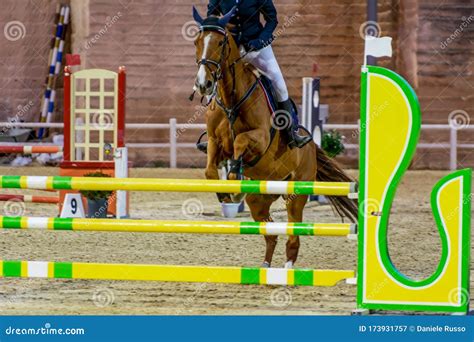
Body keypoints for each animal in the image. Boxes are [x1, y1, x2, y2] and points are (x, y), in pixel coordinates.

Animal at [192, 8, 356, 268]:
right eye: (197, 42)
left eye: (220, 42)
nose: (203, 84)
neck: (231, 100)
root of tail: (312, 147)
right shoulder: (215, 144)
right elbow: (210, 170)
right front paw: (226, 192)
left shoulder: (259, 139)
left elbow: (240, 142)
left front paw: (234, 177)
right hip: (260, 199)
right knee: (270, 234)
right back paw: (265, 267)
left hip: (295, 195)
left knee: (292, 238)